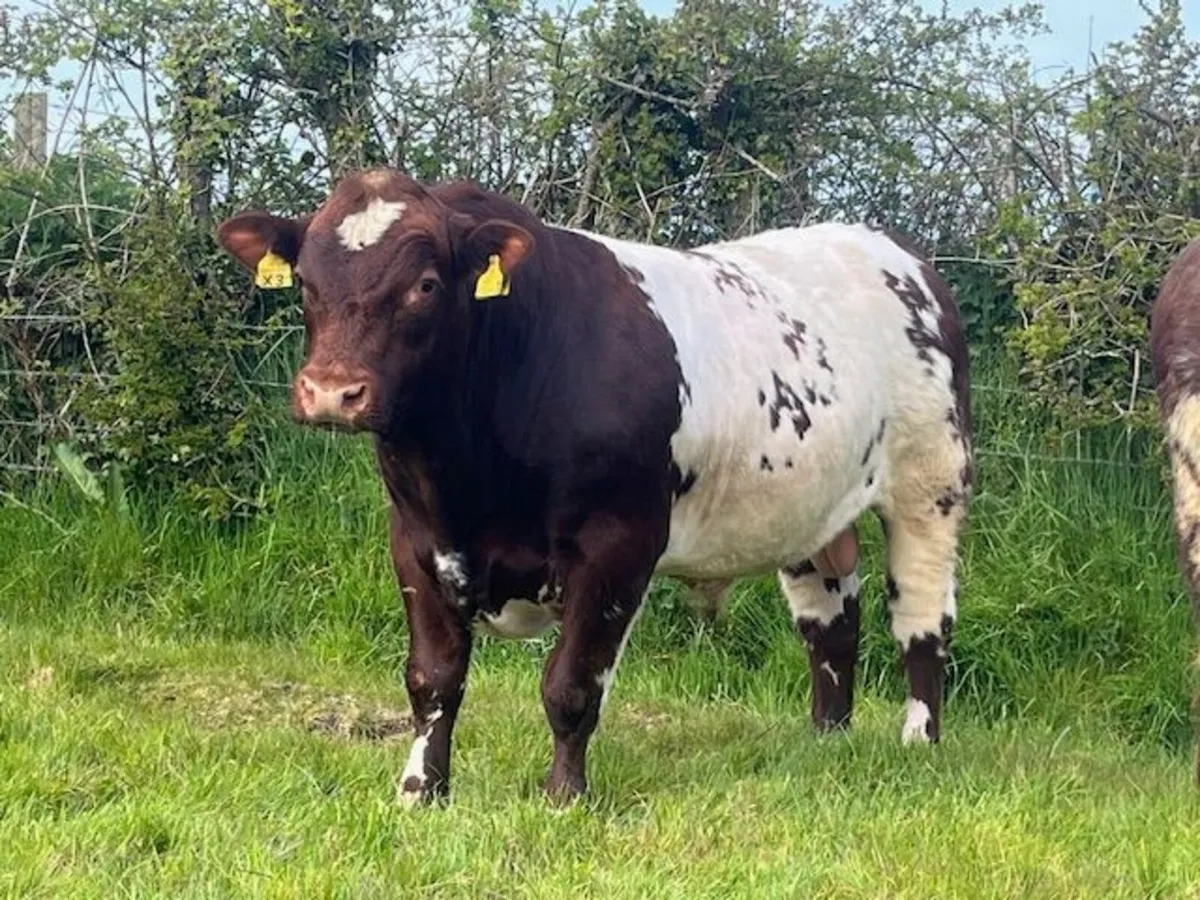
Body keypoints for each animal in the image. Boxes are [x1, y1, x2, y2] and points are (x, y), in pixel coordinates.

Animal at [217, 168, 972, 806]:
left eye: (425, 284)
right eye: (305, 282)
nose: (331, 391)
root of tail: (895, 250)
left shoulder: (616, 545)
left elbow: (572, 684)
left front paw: (564, 796)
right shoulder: (415, 541)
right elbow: (433, 679)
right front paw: (420, 791)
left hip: (931, 483)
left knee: (922, 619)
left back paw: (918, 741)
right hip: (810, 509)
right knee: (832, 620)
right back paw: (827, 739)